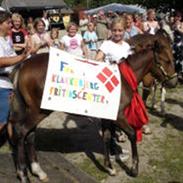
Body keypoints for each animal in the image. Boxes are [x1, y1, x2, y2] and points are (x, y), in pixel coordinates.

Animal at [6, 29, 177, 182]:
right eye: (167, 61)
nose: (174, 82)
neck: (123, 78)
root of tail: (23, 65)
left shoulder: (108, 117)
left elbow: (107, 137)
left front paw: (109, 167)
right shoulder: (119, 116)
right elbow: (132, 134)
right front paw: (134, 168)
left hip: (35, 111)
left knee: (30, 135)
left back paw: (37, 170)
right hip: (38, 111)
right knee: (21, 132)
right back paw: (23, 173)